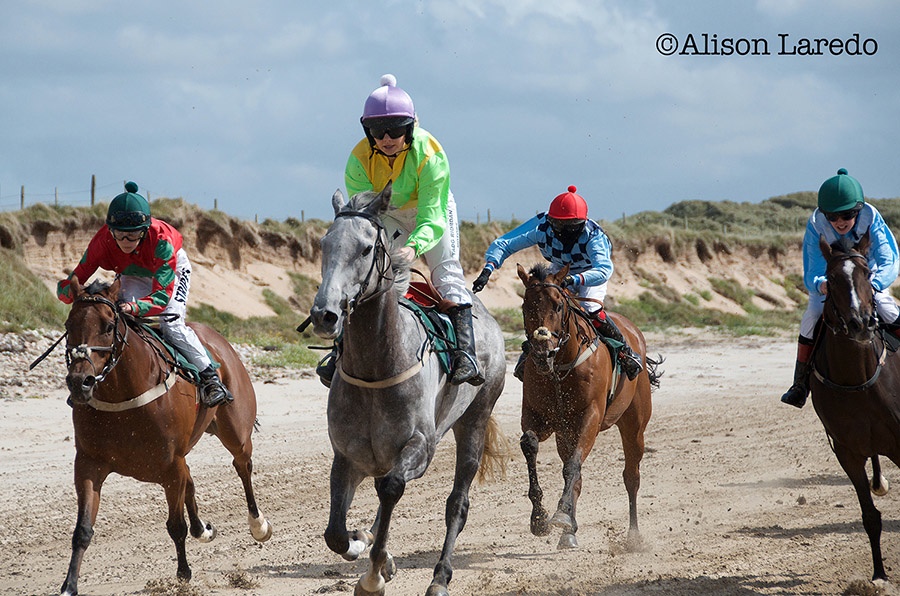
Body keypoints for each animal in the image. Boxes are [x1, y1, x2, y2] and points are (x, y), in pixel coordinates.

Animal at [58, 280, 270, 596]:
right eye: (69, 325)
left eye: (108, 326)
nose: (79, 382)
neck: (125, 396)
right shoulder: (88, 464)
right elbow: (82, 530)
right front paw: (69, 586)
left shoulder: (171, 467)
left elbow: (175, 525)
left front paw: (183, 574)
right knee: (192, 480)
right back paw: (203, 529)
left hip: (236, 432)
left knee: (242, 466)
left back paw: (258, 525)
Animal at [308, 184, 506, 592]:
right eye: (324, 244)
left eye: (366, 248)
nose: (325, 315)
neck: (375, 368)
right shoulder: (347, 455)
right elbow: (335, 532)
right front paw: (362, 543)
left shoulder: (420, 446)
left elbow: (391, 488)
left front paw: (372, 576)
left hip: (475, 419)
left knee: (457, 503)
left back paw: (440, 576)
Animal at [516, 264, 656, 552]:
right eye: (526, 306)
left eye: (558, 305)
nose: (542, 353)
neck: (559, 369)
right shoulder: (539, 418)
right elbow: (530, 444)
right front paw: (540, 519)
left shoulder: (589, 418)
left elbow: (572, 466)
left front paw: (560, 515)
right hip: (565, 434)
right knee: (577, 477)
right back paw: (569, 532)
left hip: (634, 425)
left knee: (631, 476)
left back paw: (633, 536)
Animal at [808, 233, 900, 584]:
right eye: (831, 278)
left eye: (867, 273)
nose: (860, 323)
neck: (858, 379)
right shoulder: (848, 451)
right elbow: (870, 516)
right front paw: (879, 576)